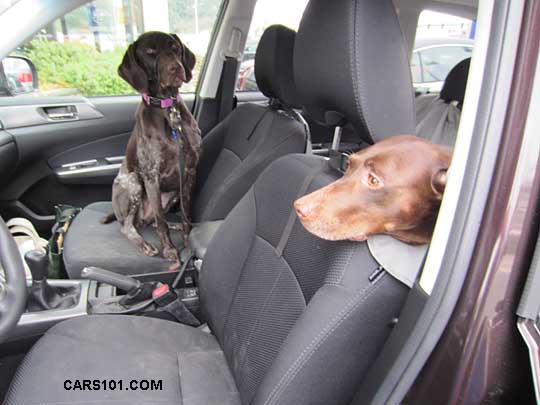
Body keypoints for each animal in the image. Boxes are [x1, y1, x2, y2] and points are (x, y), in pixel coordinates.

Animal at [101, 30, 202, 258]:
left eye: (175, 48)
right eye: (149, 52)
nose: (176, 68)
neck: (168, 110)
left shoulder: (190, 171)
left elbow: (185, 215)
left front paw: (186, 238)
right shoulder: (151, 176)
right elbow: (161, 222)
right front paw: (170, 250)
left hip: (172, 193)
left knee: (153, 220)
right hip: (134, 183)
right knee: (130, 226)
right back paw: (144, 243)